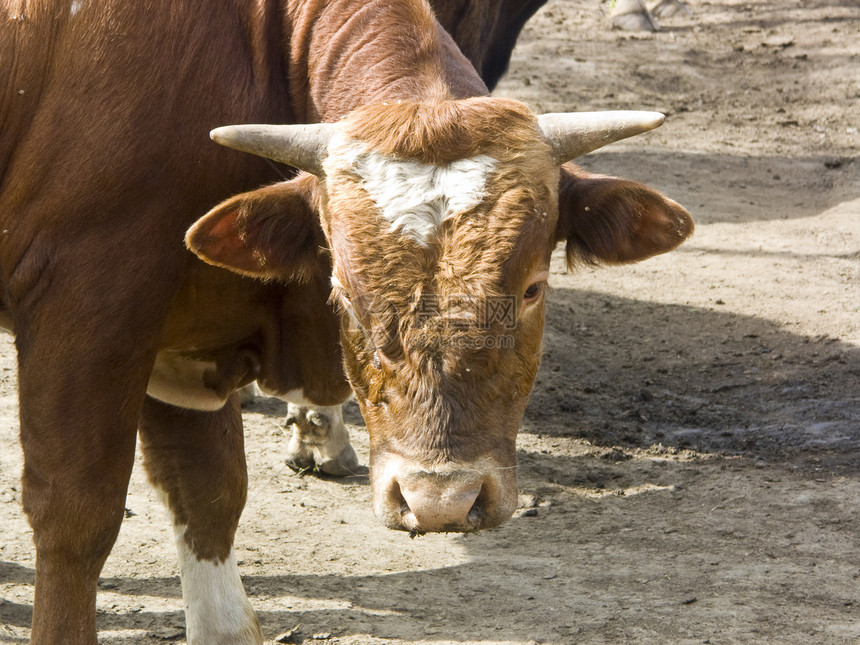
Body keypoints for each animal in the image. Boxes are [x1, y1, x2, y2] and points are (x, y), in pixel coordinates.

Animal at [0, 1, 692, 644]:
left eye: (532, 289)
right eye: (346, 293)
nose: (441, 503)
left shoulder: (180, 341)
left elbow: (207, 491)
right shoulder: (92, 308)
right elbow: (77, 514)